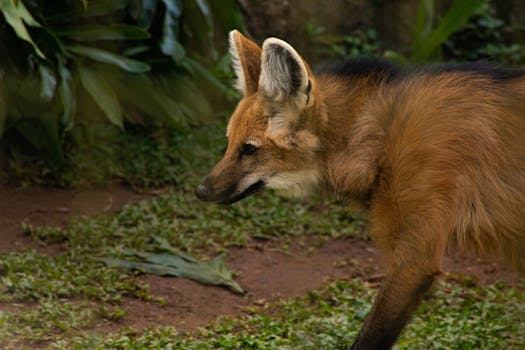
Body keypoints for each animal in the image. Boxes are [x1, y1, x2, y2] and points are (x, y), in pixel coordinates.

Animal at [194, 30, 524, 350]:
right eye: (229, 142)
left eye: (249, 149)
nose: (201, 191)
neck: (377, 138)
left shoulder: (416, 260)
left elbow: (369, 336)